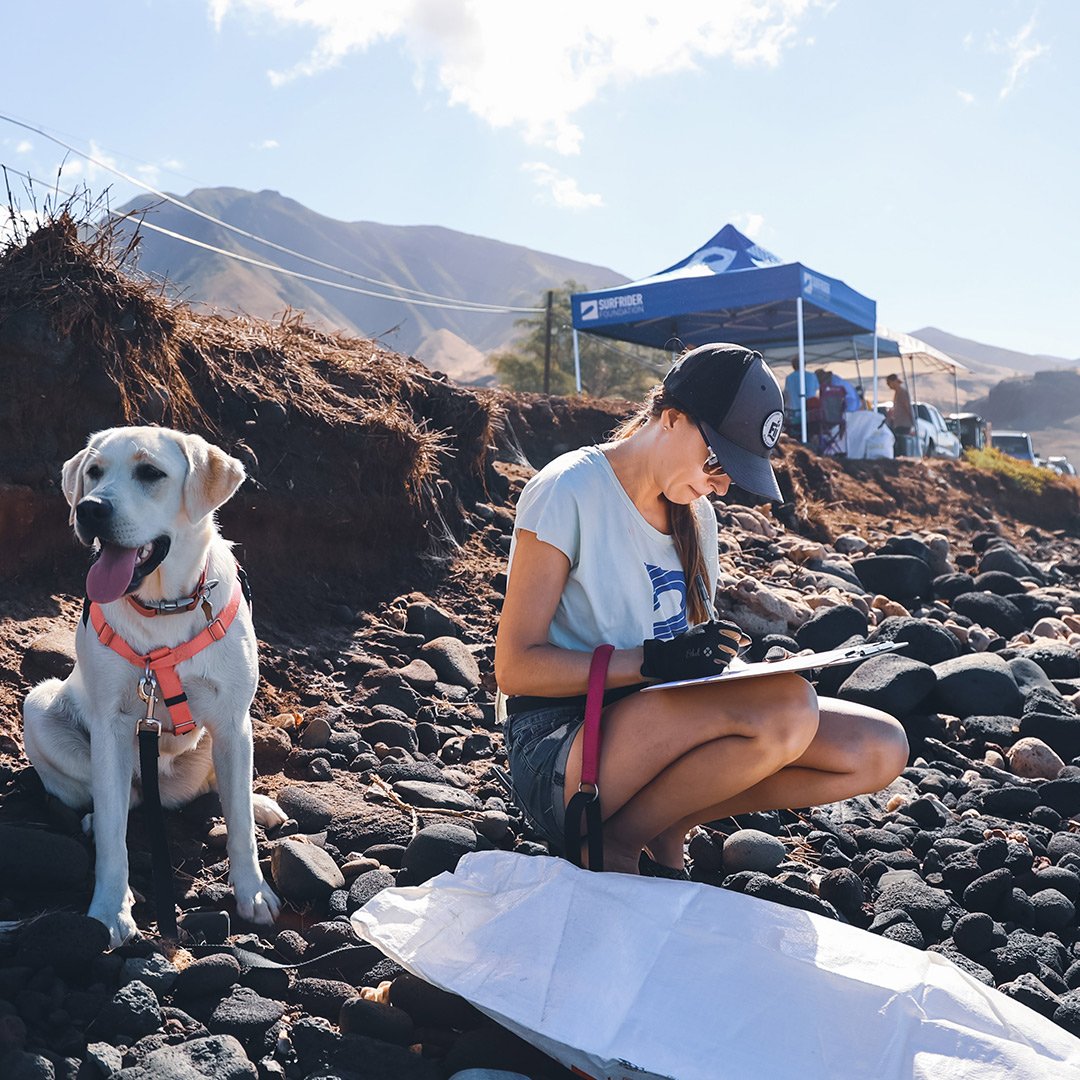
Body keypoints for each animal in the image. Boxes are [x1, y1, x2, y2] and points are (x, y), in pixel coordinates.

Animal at [25, 423, 287, 946]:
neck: (163, 606)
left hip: (228, 739)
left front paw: (253, 892)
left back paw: (258, 801)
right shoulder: (111, 726)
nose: (90, 509)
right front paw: (110, 910)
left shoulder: (233, 721)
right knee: (118, 798)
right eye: (94, 472)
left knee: (224, 789)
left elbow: (240, 826)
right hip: (39, 705)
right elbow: (112, 833)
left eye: (150, 473)